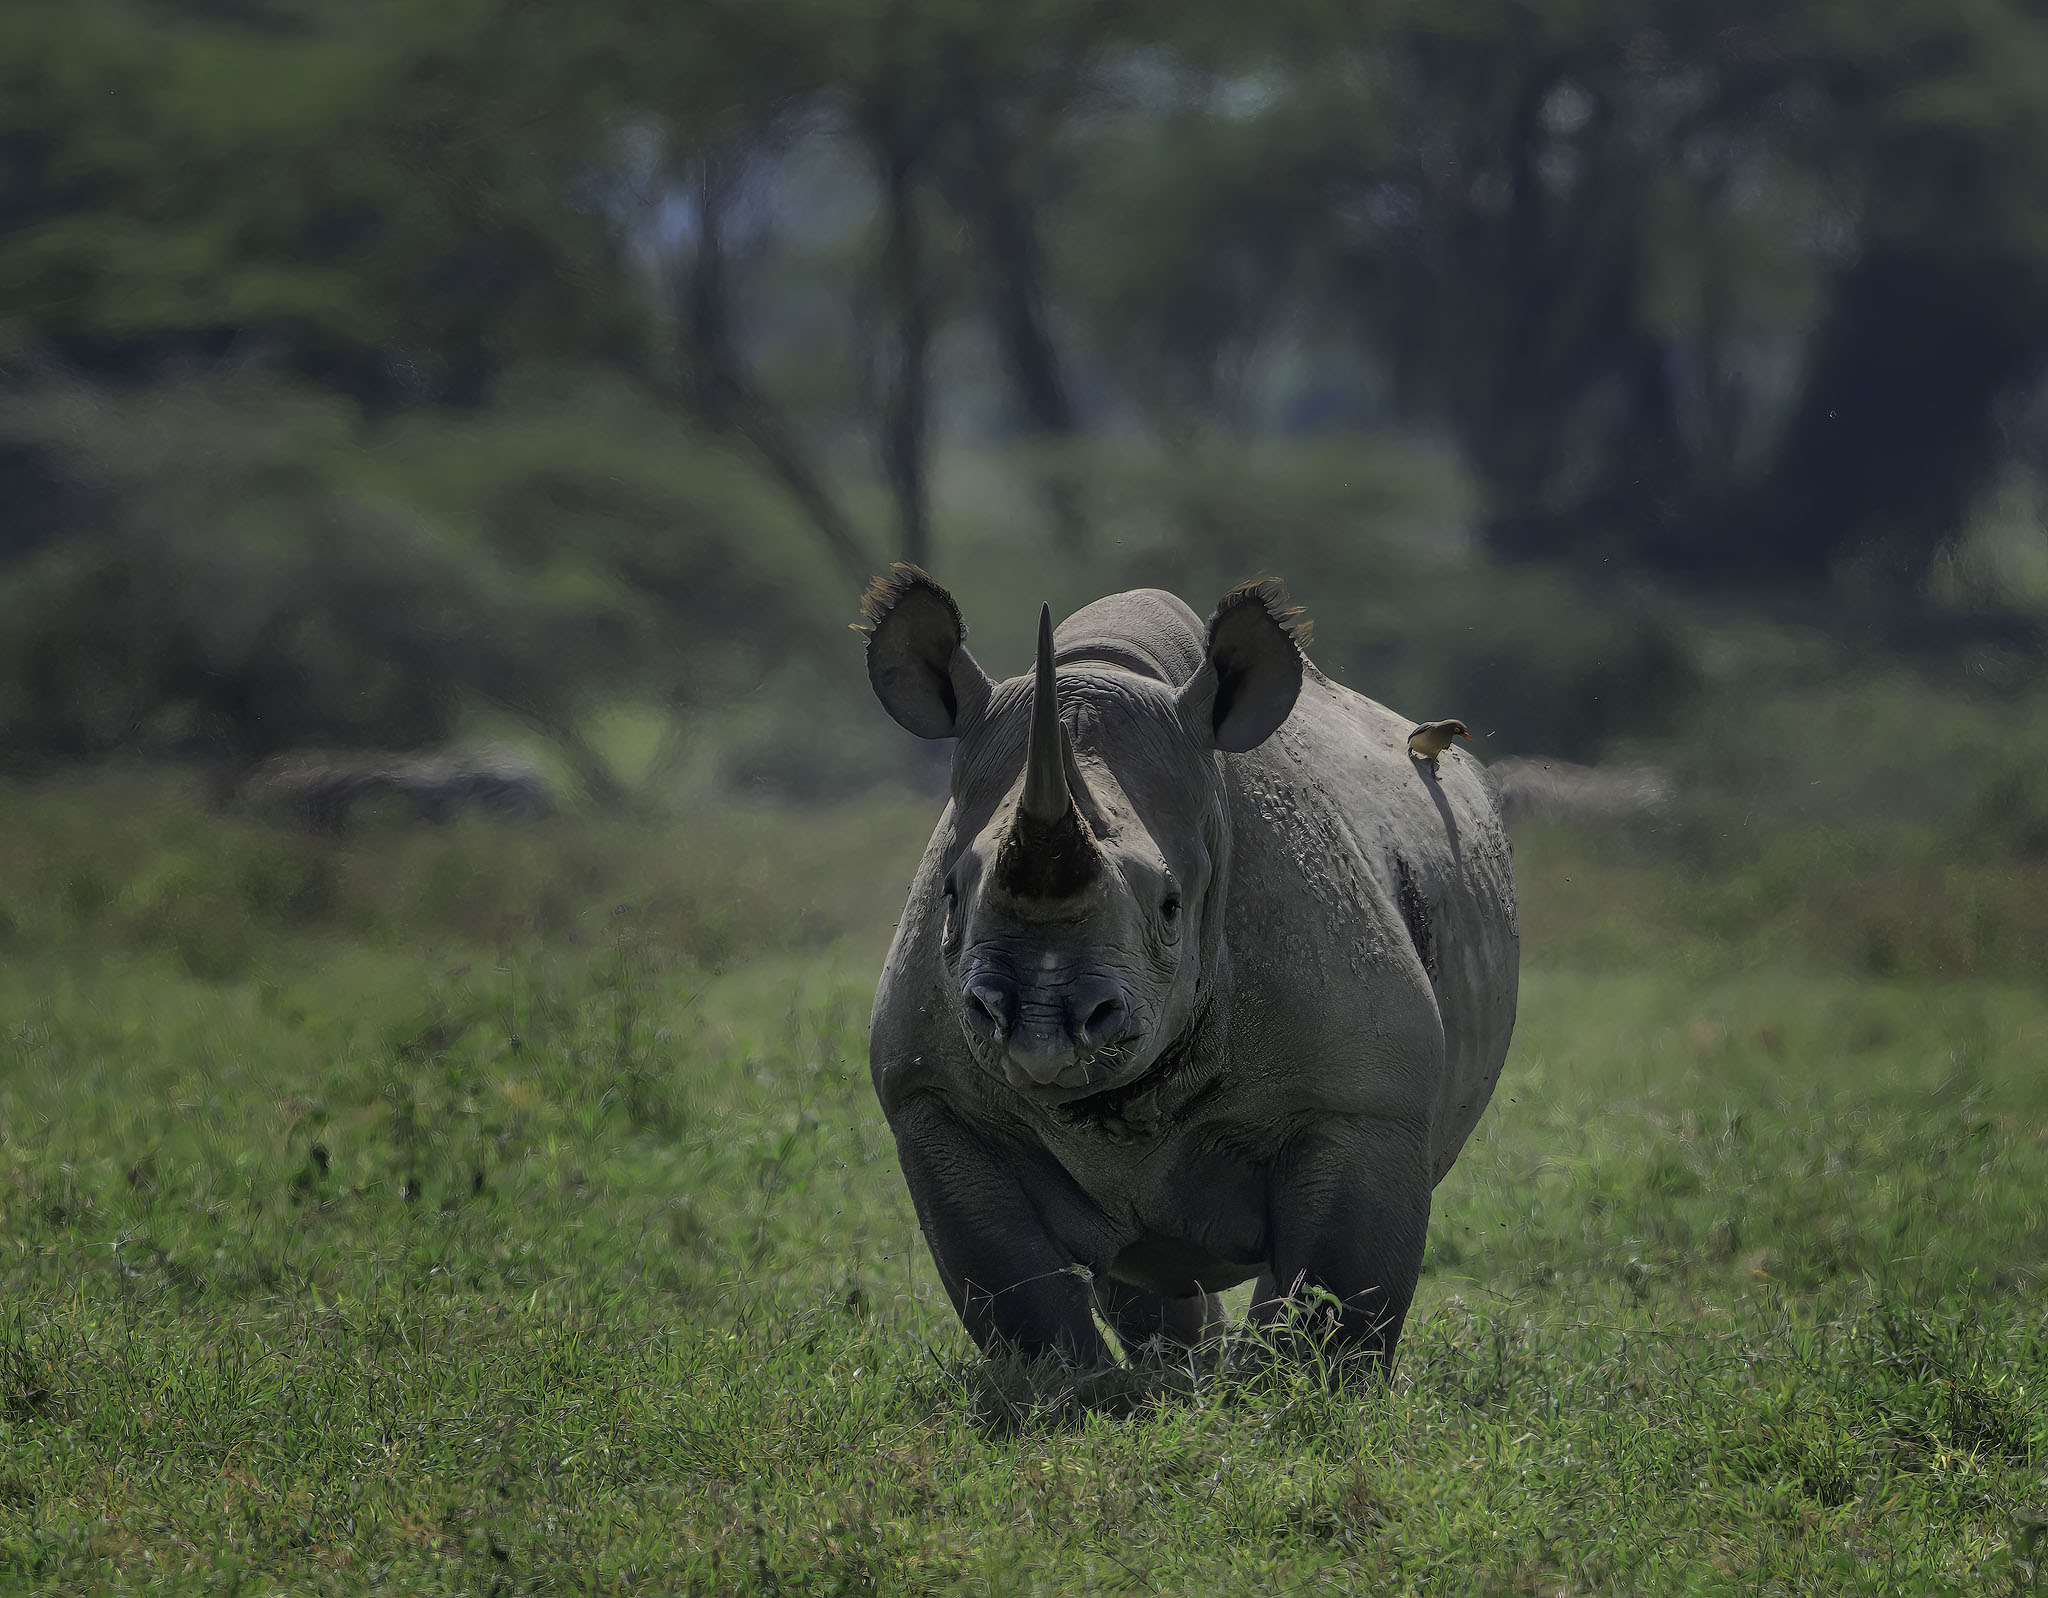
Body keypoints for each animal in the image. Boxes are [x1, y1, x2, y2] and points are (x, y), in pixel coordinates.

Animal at [862, 570, 1518, 1371]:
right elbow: (1018, 1296)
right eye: (950, 895)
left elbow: (1334, 1295)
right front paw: (1079, 1391)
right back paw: (1182, 1373)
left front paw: (1294, 1388)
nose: (1040, 1027)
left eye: (1172, 907)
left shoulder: (1361, 1101)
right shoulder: (933, 1099)